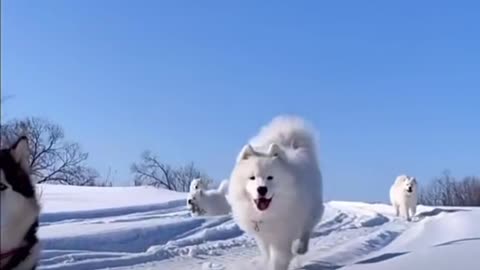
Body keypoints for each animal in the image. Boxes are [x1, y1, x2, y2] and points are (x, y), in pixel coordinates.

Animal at [227, 115, 324, 270]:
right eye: (252, 177)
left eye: (270, 177)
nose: (262, 189)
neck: (268, 214)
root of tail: (290, 145)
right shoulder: (263, 237)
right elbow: (267, 254)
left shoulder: (282, 238)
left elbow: (279, 259)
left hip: (311, 209)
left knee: (306, 230)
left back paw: (300, 248)